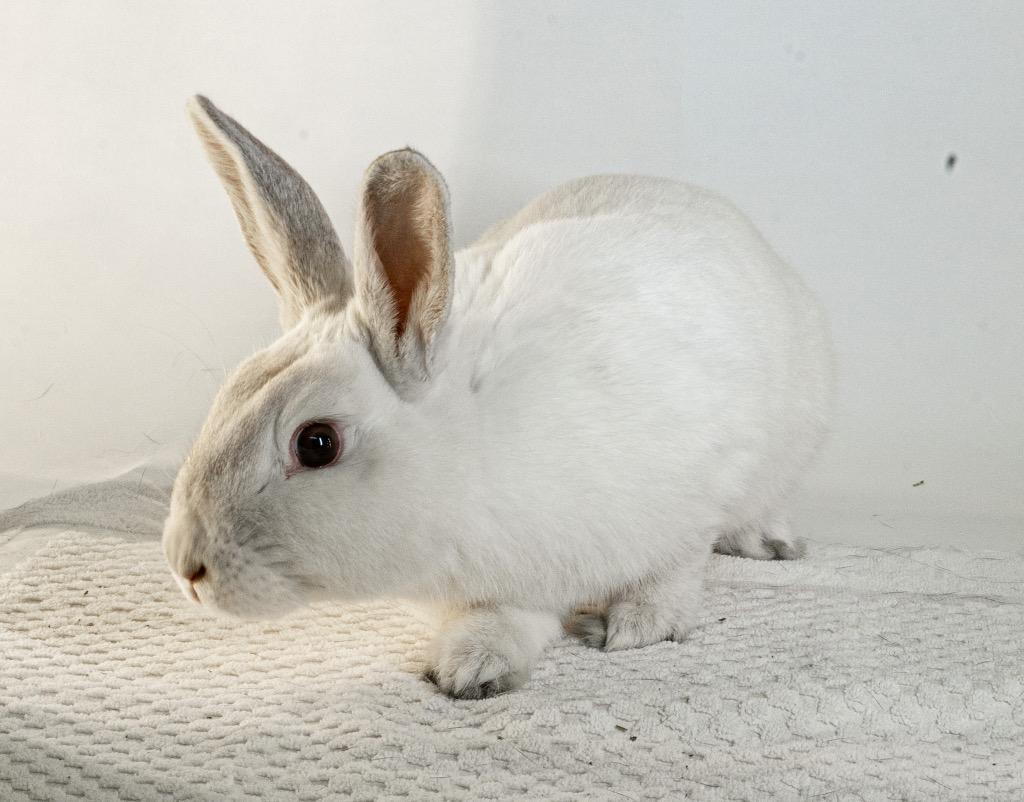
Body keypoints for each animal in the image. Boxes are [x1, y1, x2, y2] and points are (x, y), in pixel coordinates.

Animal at [162, 95, 834, 699]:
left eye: (317, 443)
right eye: (225, 397)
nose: (186, 566)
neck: (468, 466)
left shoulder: (691, 498)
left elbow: (672, 572)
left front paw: (637, 627)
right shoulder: (500, 589)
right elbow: (501, 623)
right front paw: (472, 669)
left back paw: (772, 543)